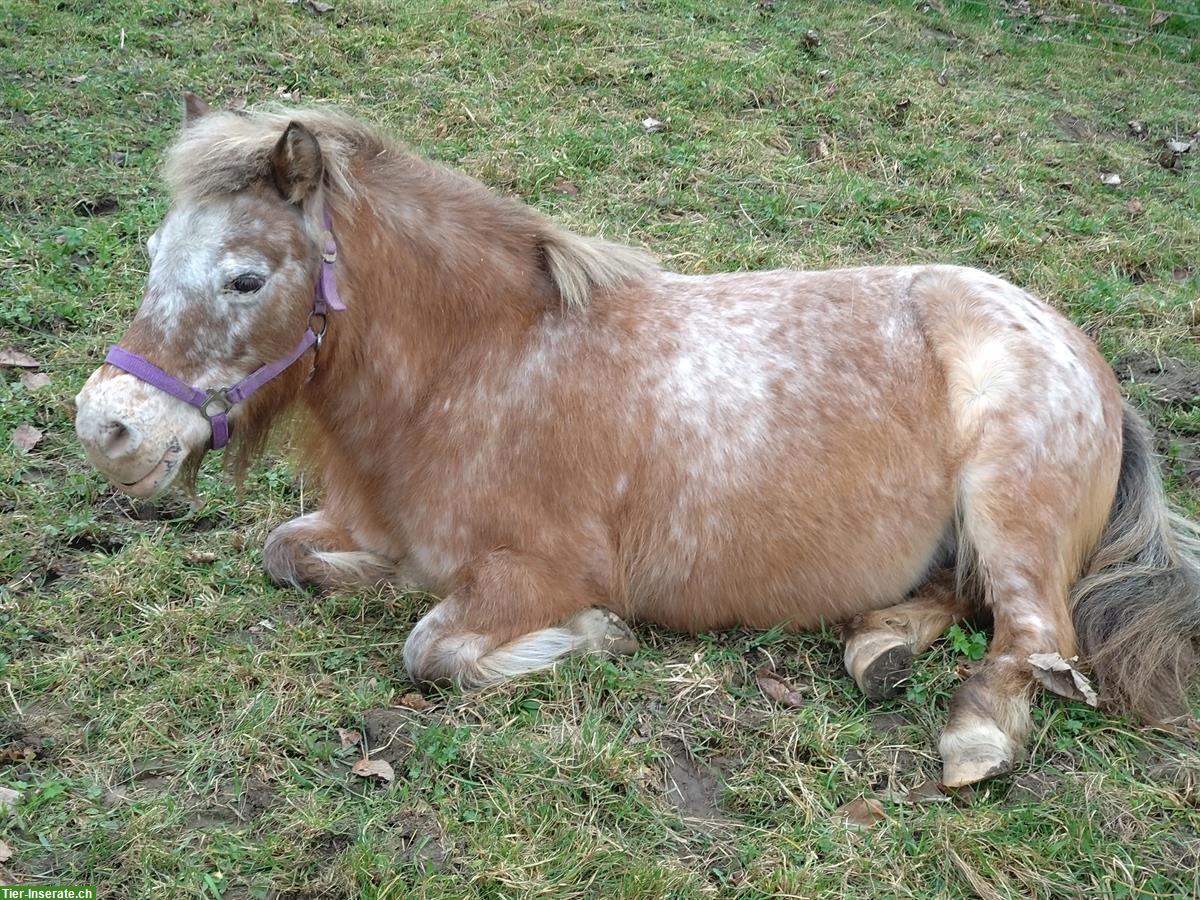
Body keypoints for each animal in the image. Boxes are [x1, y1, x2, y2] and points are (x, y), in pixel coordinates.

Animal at [75, 95, 1200, 787]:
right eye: (151, 250)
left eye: (246, 277)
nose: (106, 427)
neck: (478, 370)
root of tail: (1081, 352)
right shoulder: (367, 523)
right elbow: (287, 554)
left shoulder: (532, 575)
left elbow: (433, 650)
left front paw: (596, 637)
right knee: (962, 599)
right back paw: (877, 646)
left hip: (1010, 506)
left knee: (1037, 635)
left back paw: (972, 733)